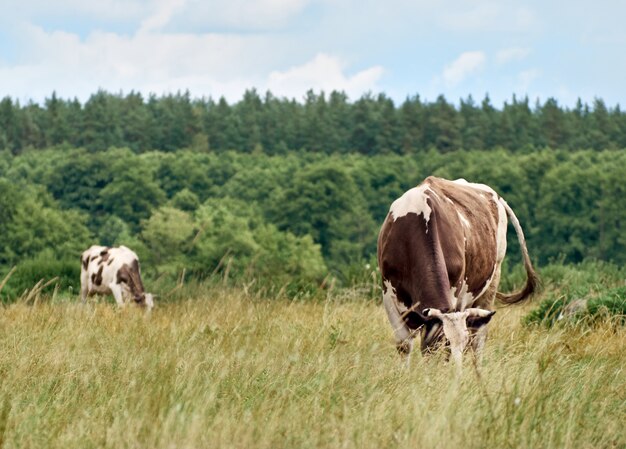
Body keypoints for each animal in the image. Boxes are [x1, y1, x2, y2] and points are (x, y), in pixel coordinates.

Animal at [376, 175, 536, 368]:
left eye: (451, 344)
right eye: (437, 343)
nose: (456, 371)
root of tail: (495, 196)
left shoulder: (455, 294)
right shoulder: (388, 294)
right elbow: (404, 345)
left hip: (492, 280)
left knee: (478, 338)